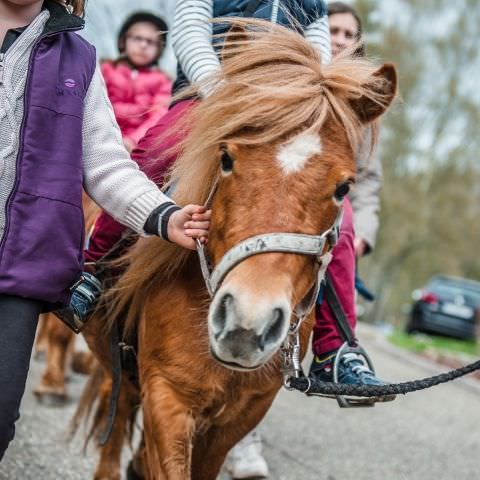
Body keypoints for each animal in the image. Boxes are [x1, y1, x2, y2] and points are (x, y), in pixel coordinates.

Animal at [75, 17, 398, 480]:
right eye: (225, 159)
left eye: (344, 188)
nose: (247, 323)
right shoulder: (167, 397)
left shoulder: (240, 416)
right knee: (113, 407)